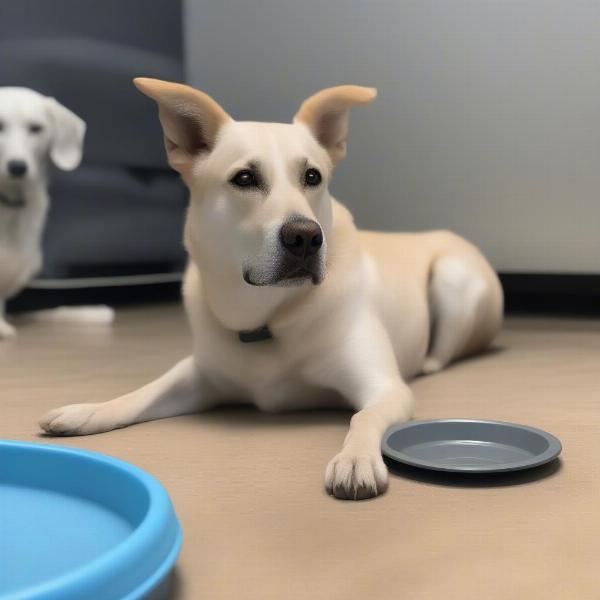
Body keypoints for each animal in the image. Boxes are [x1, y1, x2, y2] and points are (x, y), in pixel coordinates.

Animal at [39, 81, 504, 502]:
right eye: (244, 178)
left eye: (312, 176)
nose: (306, 237)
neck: (268, 317)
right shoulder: (201, 375)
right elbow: (141, 393)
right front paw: (89, 411)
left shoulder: (386, 389)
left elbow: (364, 418)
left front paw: (355, 459)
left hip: (452, 279)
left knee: (443, 351)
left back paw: (429, 362)